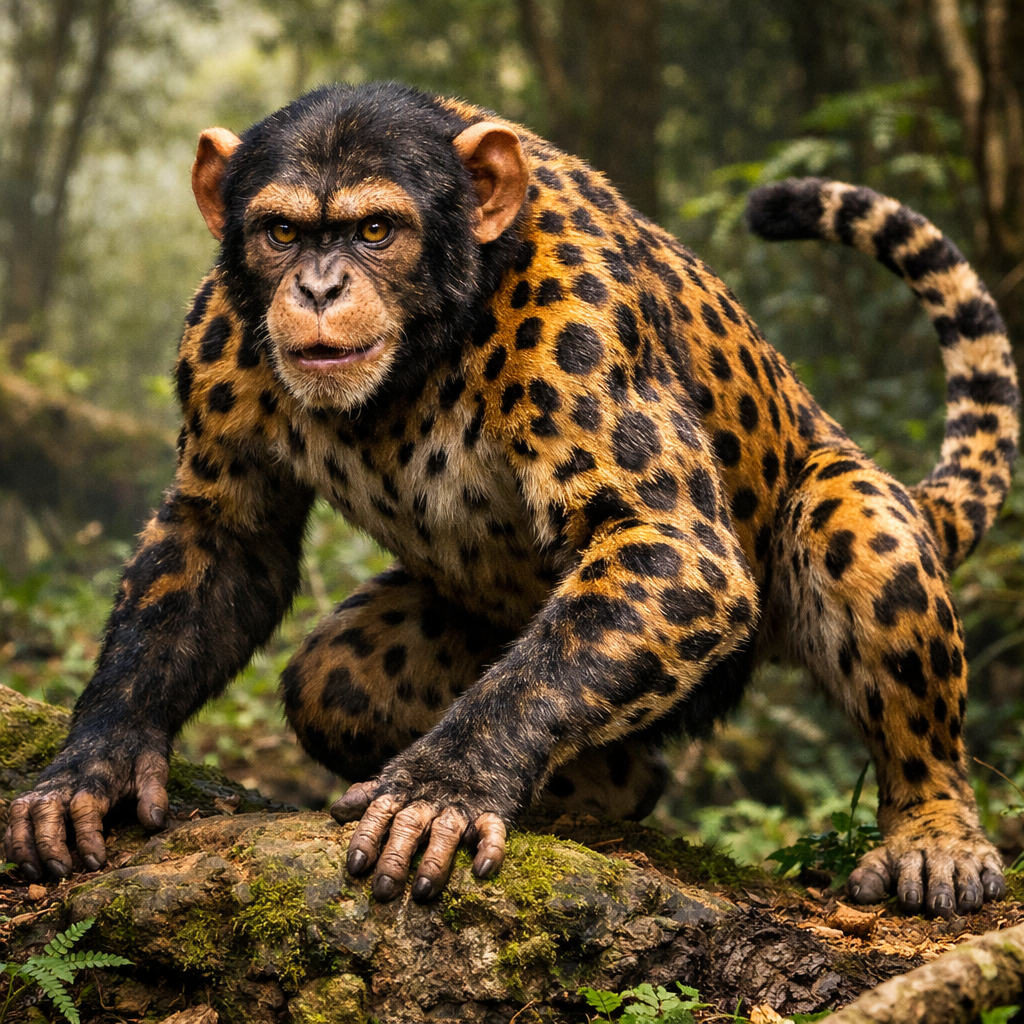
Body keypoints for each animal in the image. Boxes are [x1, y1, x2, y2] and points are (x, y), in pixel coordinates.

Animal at [5, 82, 1017, 919]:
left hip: (852, 510)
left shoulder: (583, 318)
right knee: (336, 678)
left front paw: (442, 789)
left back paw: (934, 836)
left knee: (865, 559)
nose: (321, 288)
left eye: (376, 230)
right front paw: (92, 764)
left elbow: (661, 537)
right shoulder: (218, 343)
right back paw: (606, 797)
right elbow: (215, 542)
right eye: (283, 233)